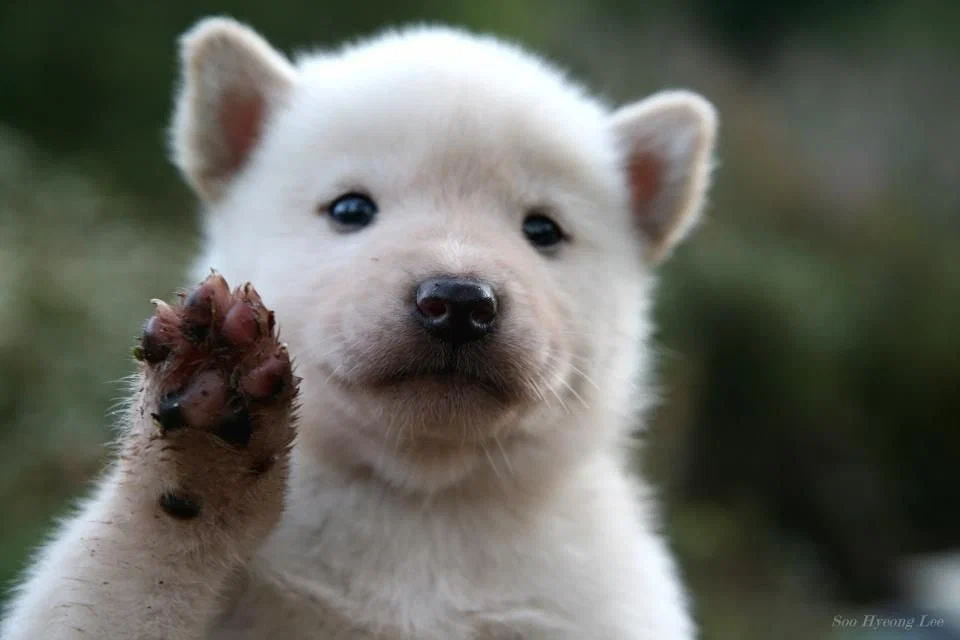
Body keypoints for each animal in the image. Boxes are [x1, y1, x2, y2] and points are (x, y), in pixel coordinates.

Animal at [1, 17, 720, 636]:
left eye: (543, 229)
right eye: (350, 207)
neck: (418, 503)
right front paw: (203, 434)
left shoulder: (595, 605)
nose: (458, 301)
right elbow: (107, 596)